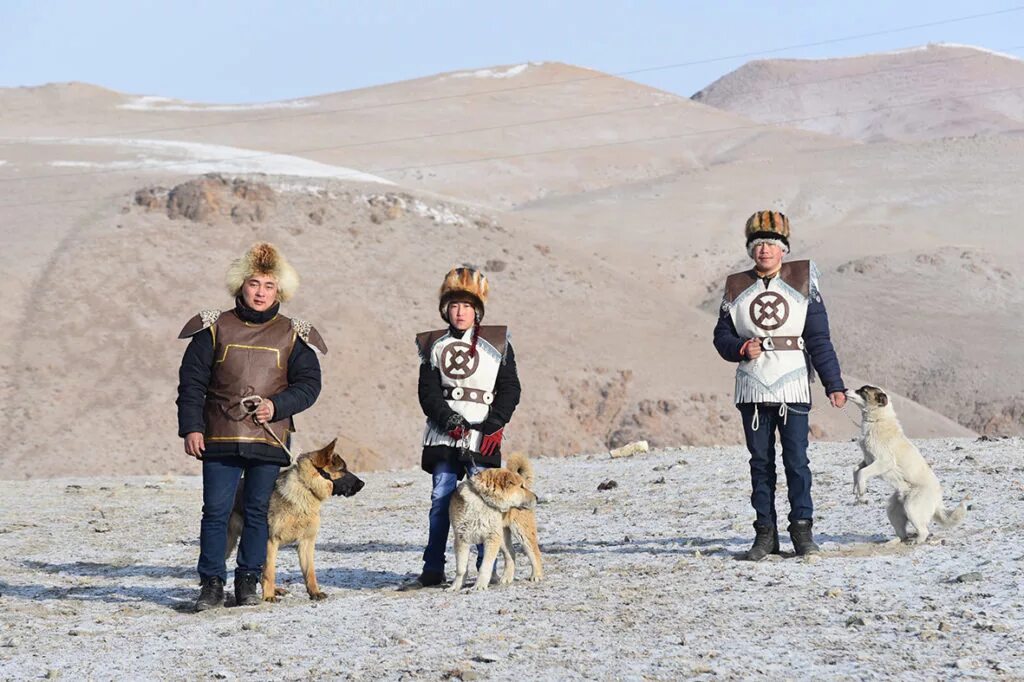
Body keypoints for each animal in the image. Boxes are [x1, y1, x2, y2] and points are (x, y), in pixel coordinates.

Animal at [448, 450, 544, 589]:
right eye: (521, 487)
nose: (537, 497)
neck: (482, 500)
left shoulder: (492, 538)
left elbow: (485, 567)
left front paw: (479, 586)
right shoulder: (461, 538)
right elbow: (461, 568)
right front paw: (455, 587)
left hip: (522, 533)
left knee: (534, 553)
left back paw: (536, 575)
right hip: (502, 536)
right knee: (511, 554)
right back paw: (506, 578)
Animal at [843, 385, 962, 544]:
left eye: (864, 390)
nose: (844, 390)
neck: (878, 420)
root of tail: (938, 499)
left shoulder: (883, 461)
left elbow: (862, 473)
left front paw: (861, 491)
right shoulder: (867, 460)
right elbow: (855, 470)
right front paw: (856, 489)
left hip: (912, 507)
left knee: (924, 531)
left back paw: (916, 541)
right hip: (893, 510)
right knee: (902, 534)